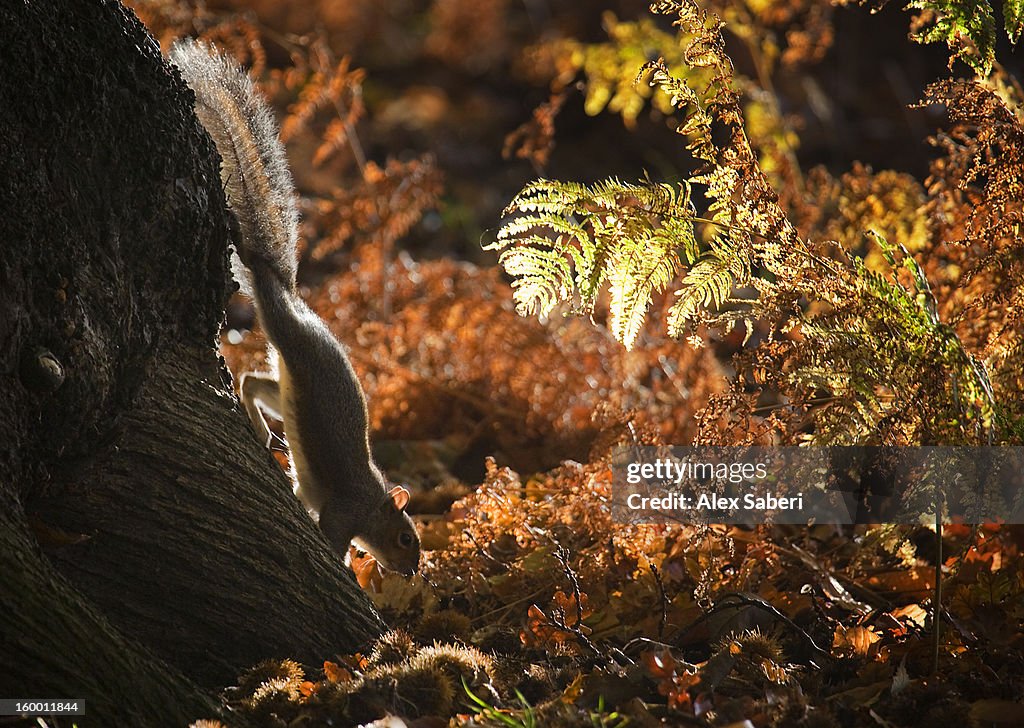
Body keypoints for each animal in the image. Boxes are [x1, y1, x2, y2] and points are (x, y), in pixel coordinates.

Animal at [172, 39, 419, 577]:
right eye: (406, 537)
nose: (414, 570)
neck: (372, 503)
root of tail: (285, 292)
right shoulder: (344, 510)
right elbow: (332, 540)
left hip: (286, 380)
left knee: (251, 380)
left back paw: (265, 432)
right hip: (287, 340)